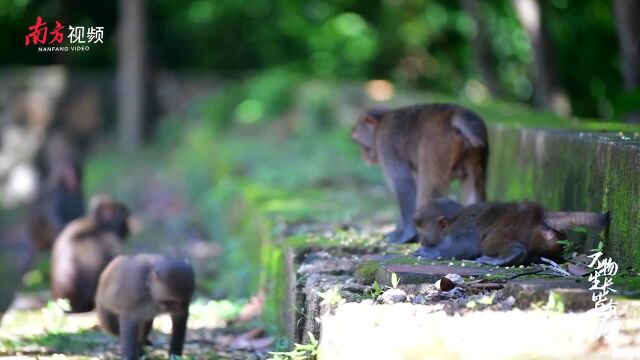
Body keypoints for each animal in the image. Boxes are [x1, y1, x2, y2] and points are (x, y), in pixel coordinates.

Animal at [352, 104, 488, 245]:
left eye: (358, 141)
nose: (363, 155)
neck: (382, 121)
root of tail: (454, 113)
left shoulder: (385, 143)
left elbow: (403, 184)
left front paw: (407, 235)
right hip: (477, 151)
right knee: (474, 186)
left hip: (435, 149)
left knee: (428, 188)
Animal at [412, 198, 608, 266]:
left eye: (424, 233)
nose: (421, 240)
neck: (455, 217)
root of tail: (537, 213)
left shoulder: (462, 229)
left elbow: (457, 249)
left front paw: (426, 251)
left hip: (516, 229)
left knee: (491, 243)